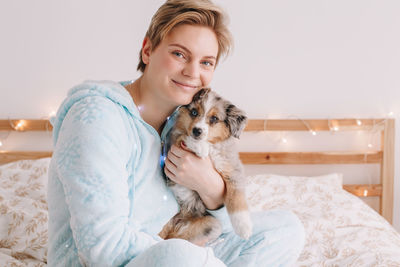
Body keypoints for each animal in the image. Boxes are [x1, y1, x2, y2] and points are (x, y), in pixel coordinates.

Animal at [159, 88, 253, 247]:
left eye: (214, 119)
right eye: (194, 112)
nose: (197, 131)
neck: (212, 146)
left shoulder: (233, 170)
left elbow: (237, 198)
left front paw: (244, 228)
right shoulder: (173, 144)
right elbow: (184, 137)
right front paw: (200, 148)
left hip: (213, 225)